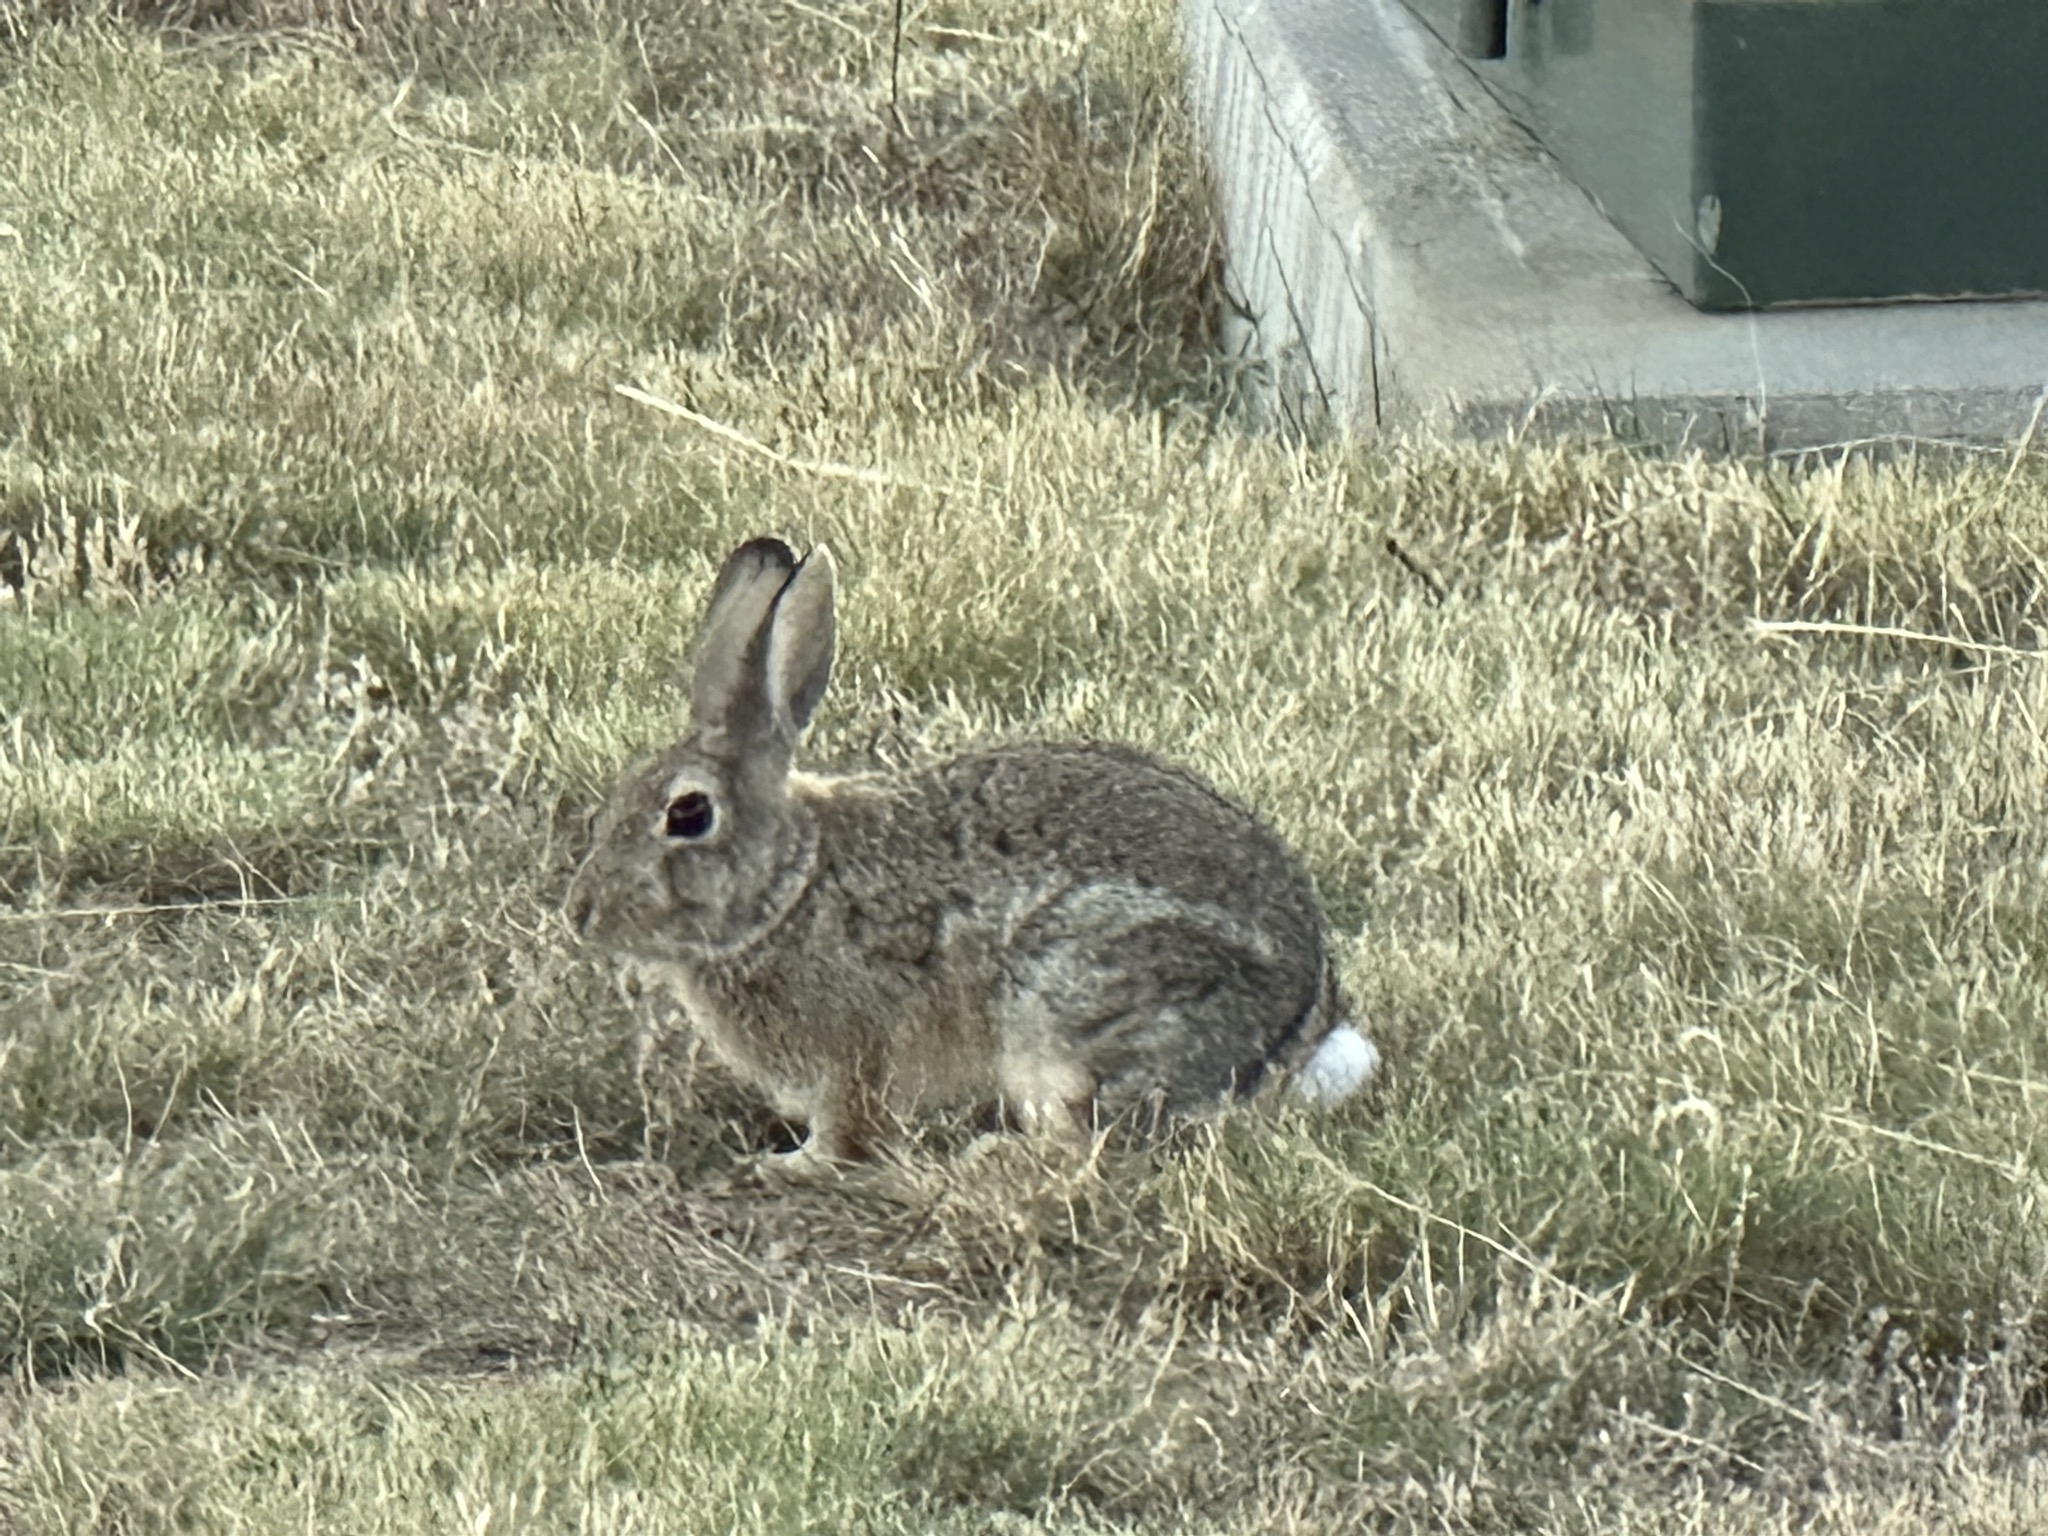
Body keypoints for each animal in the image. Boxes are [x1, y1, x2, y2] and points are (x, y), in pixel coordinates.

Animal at [565, 537, 1379, 1163]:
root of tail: (1296, 1029)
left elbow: (849, 1125)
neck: (788, 890)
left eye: (689, 813)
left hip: (1070, 1013)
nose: (581, 912)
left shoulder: (857, 1046)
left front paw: (797, 1166)